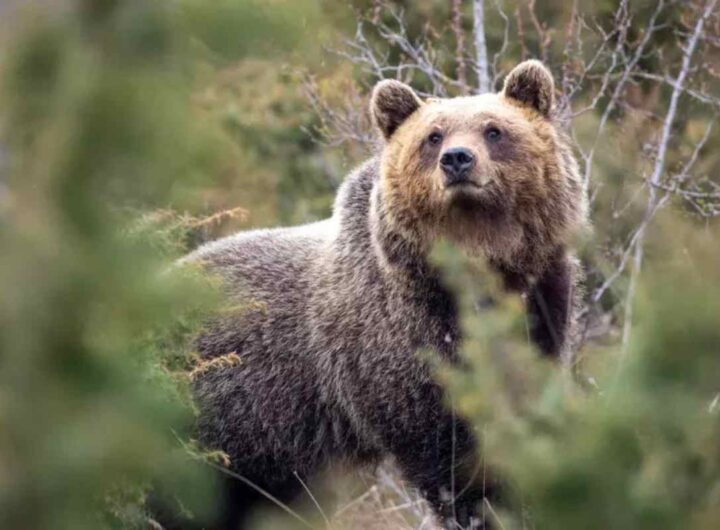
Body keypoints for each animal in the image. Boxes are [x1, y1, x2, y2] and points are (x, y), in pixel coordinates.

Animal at [165, 60, 586, 530]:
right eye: (433, 136)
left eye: (494, 130)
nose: (457, 159)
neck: (479, 271)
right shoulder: (396, 339)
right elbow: (446, 445)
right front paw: (480, 507)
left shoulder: (540, 302)